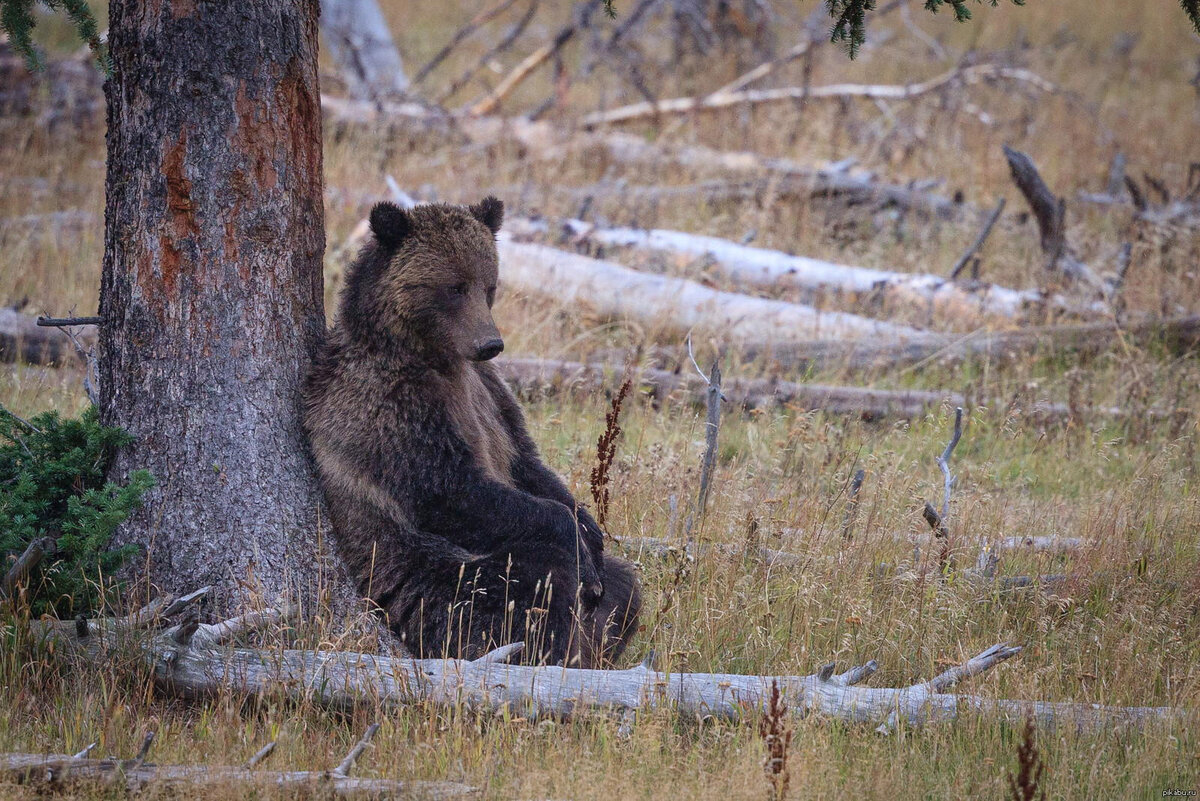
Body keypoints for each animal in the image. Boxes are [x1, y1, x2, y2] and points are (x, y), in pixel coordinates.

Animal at [304, 196, 643, 666]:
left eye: (489, 284)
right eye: (454, 287)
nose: (490, 344)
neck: (430, 356)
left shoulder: (490, 394)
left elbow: (526, 461)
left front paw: (589, 532)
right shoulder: (390, 405)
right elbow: (451, 489)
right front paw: (573, 539)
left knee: (626, 588)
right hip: (428, 581)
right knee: (533, 583)